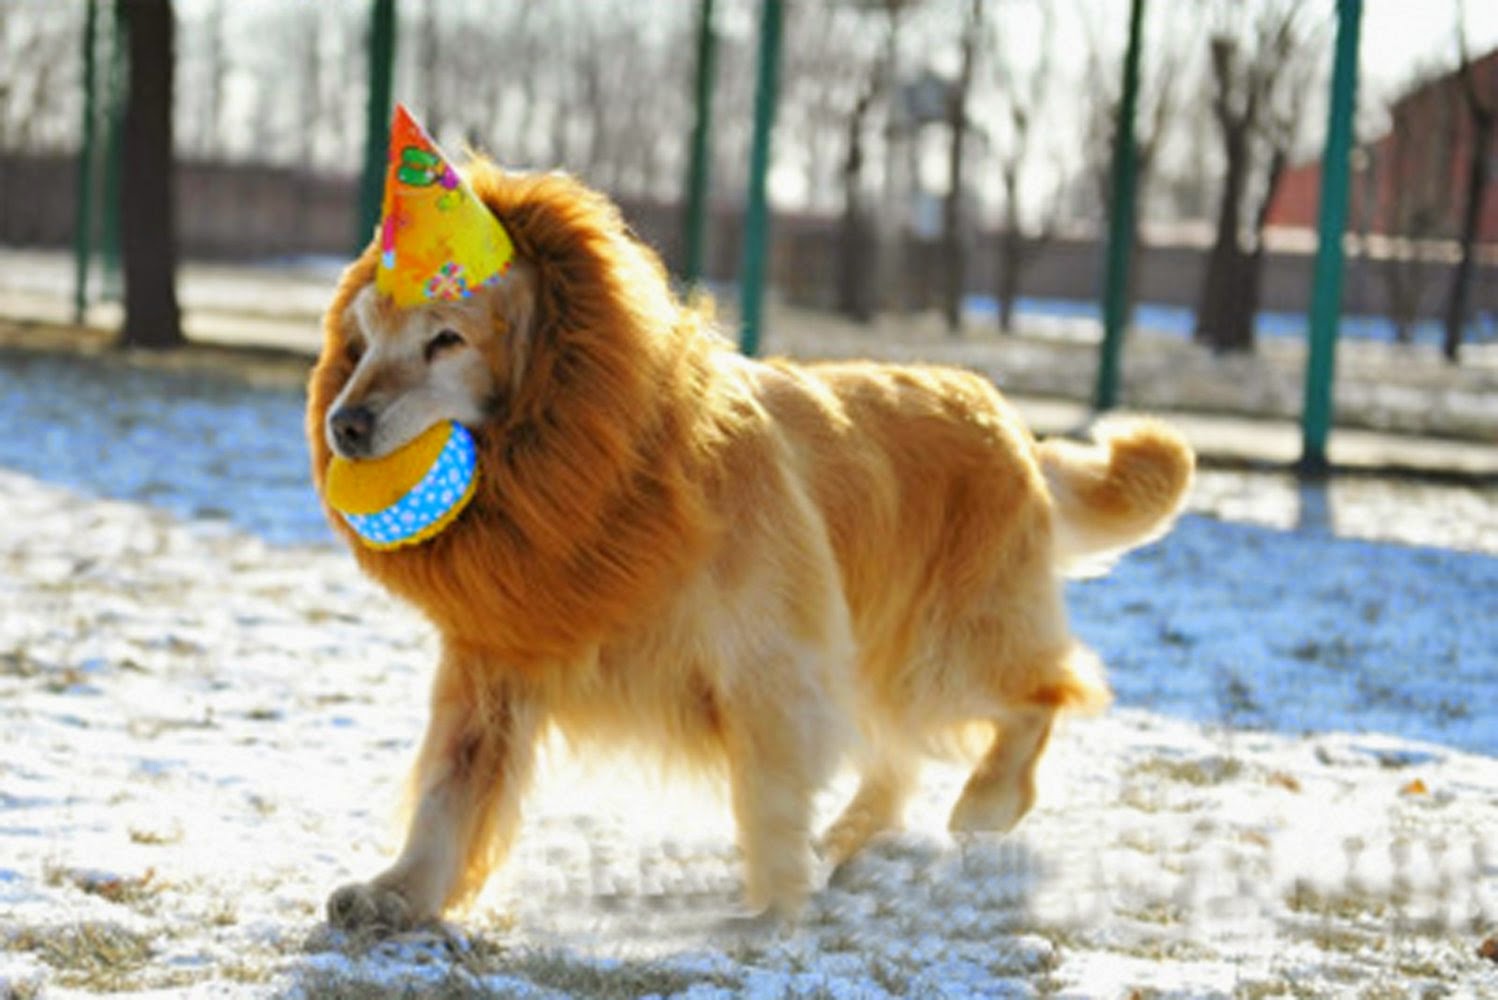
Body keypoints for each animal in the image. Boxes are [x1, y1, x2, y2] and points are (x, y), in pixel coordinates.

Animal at [304, 162, 1192, 928]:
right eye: (364, 335)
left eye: (445, 340)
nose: (343, 425)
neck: (618, 467)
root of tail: (1009, 423)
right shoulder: (494, 661)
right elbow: (448, 793)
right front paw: (400, 891)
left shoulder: (774, 664)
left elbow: (764, 793)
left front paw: (773, 906)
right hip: (884, 660)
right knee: (901, 759)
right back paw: (841, 841)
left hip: (941, 651)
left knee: (1043, 695)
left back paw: (987, 801)